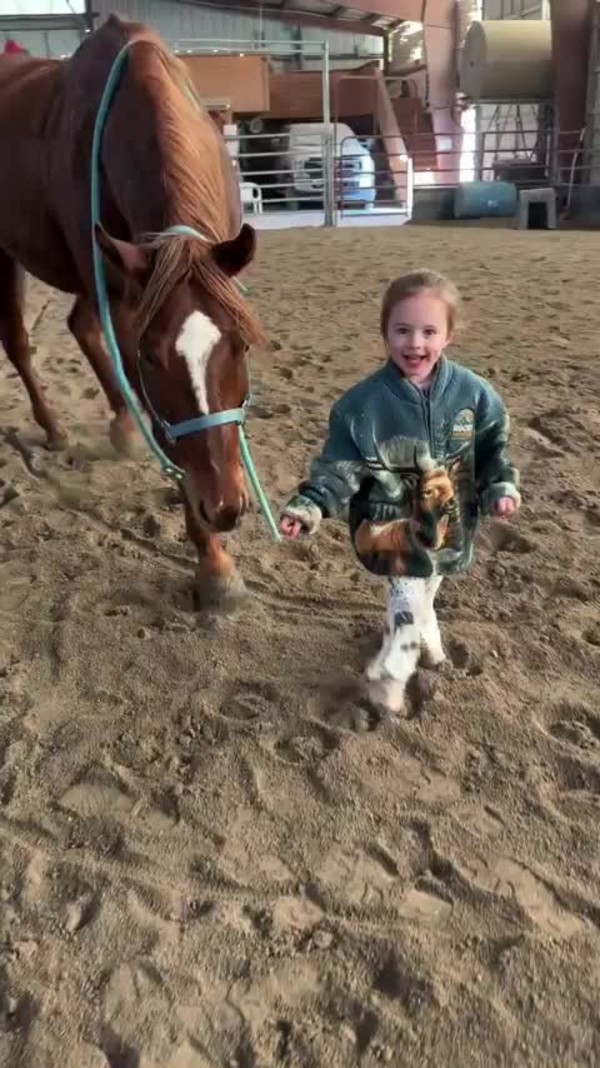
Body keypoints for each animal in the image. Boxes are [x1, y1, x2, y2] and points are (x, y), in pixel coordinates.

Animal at [0, 14, 266, 607]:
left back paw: (120, 425)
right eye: (150, 359)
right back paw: (55, 427)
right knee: (20, 342)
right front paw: (213, 563)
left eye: (240, 347)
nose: (225, 507)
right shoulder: (122, 297)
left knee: (79, 326)